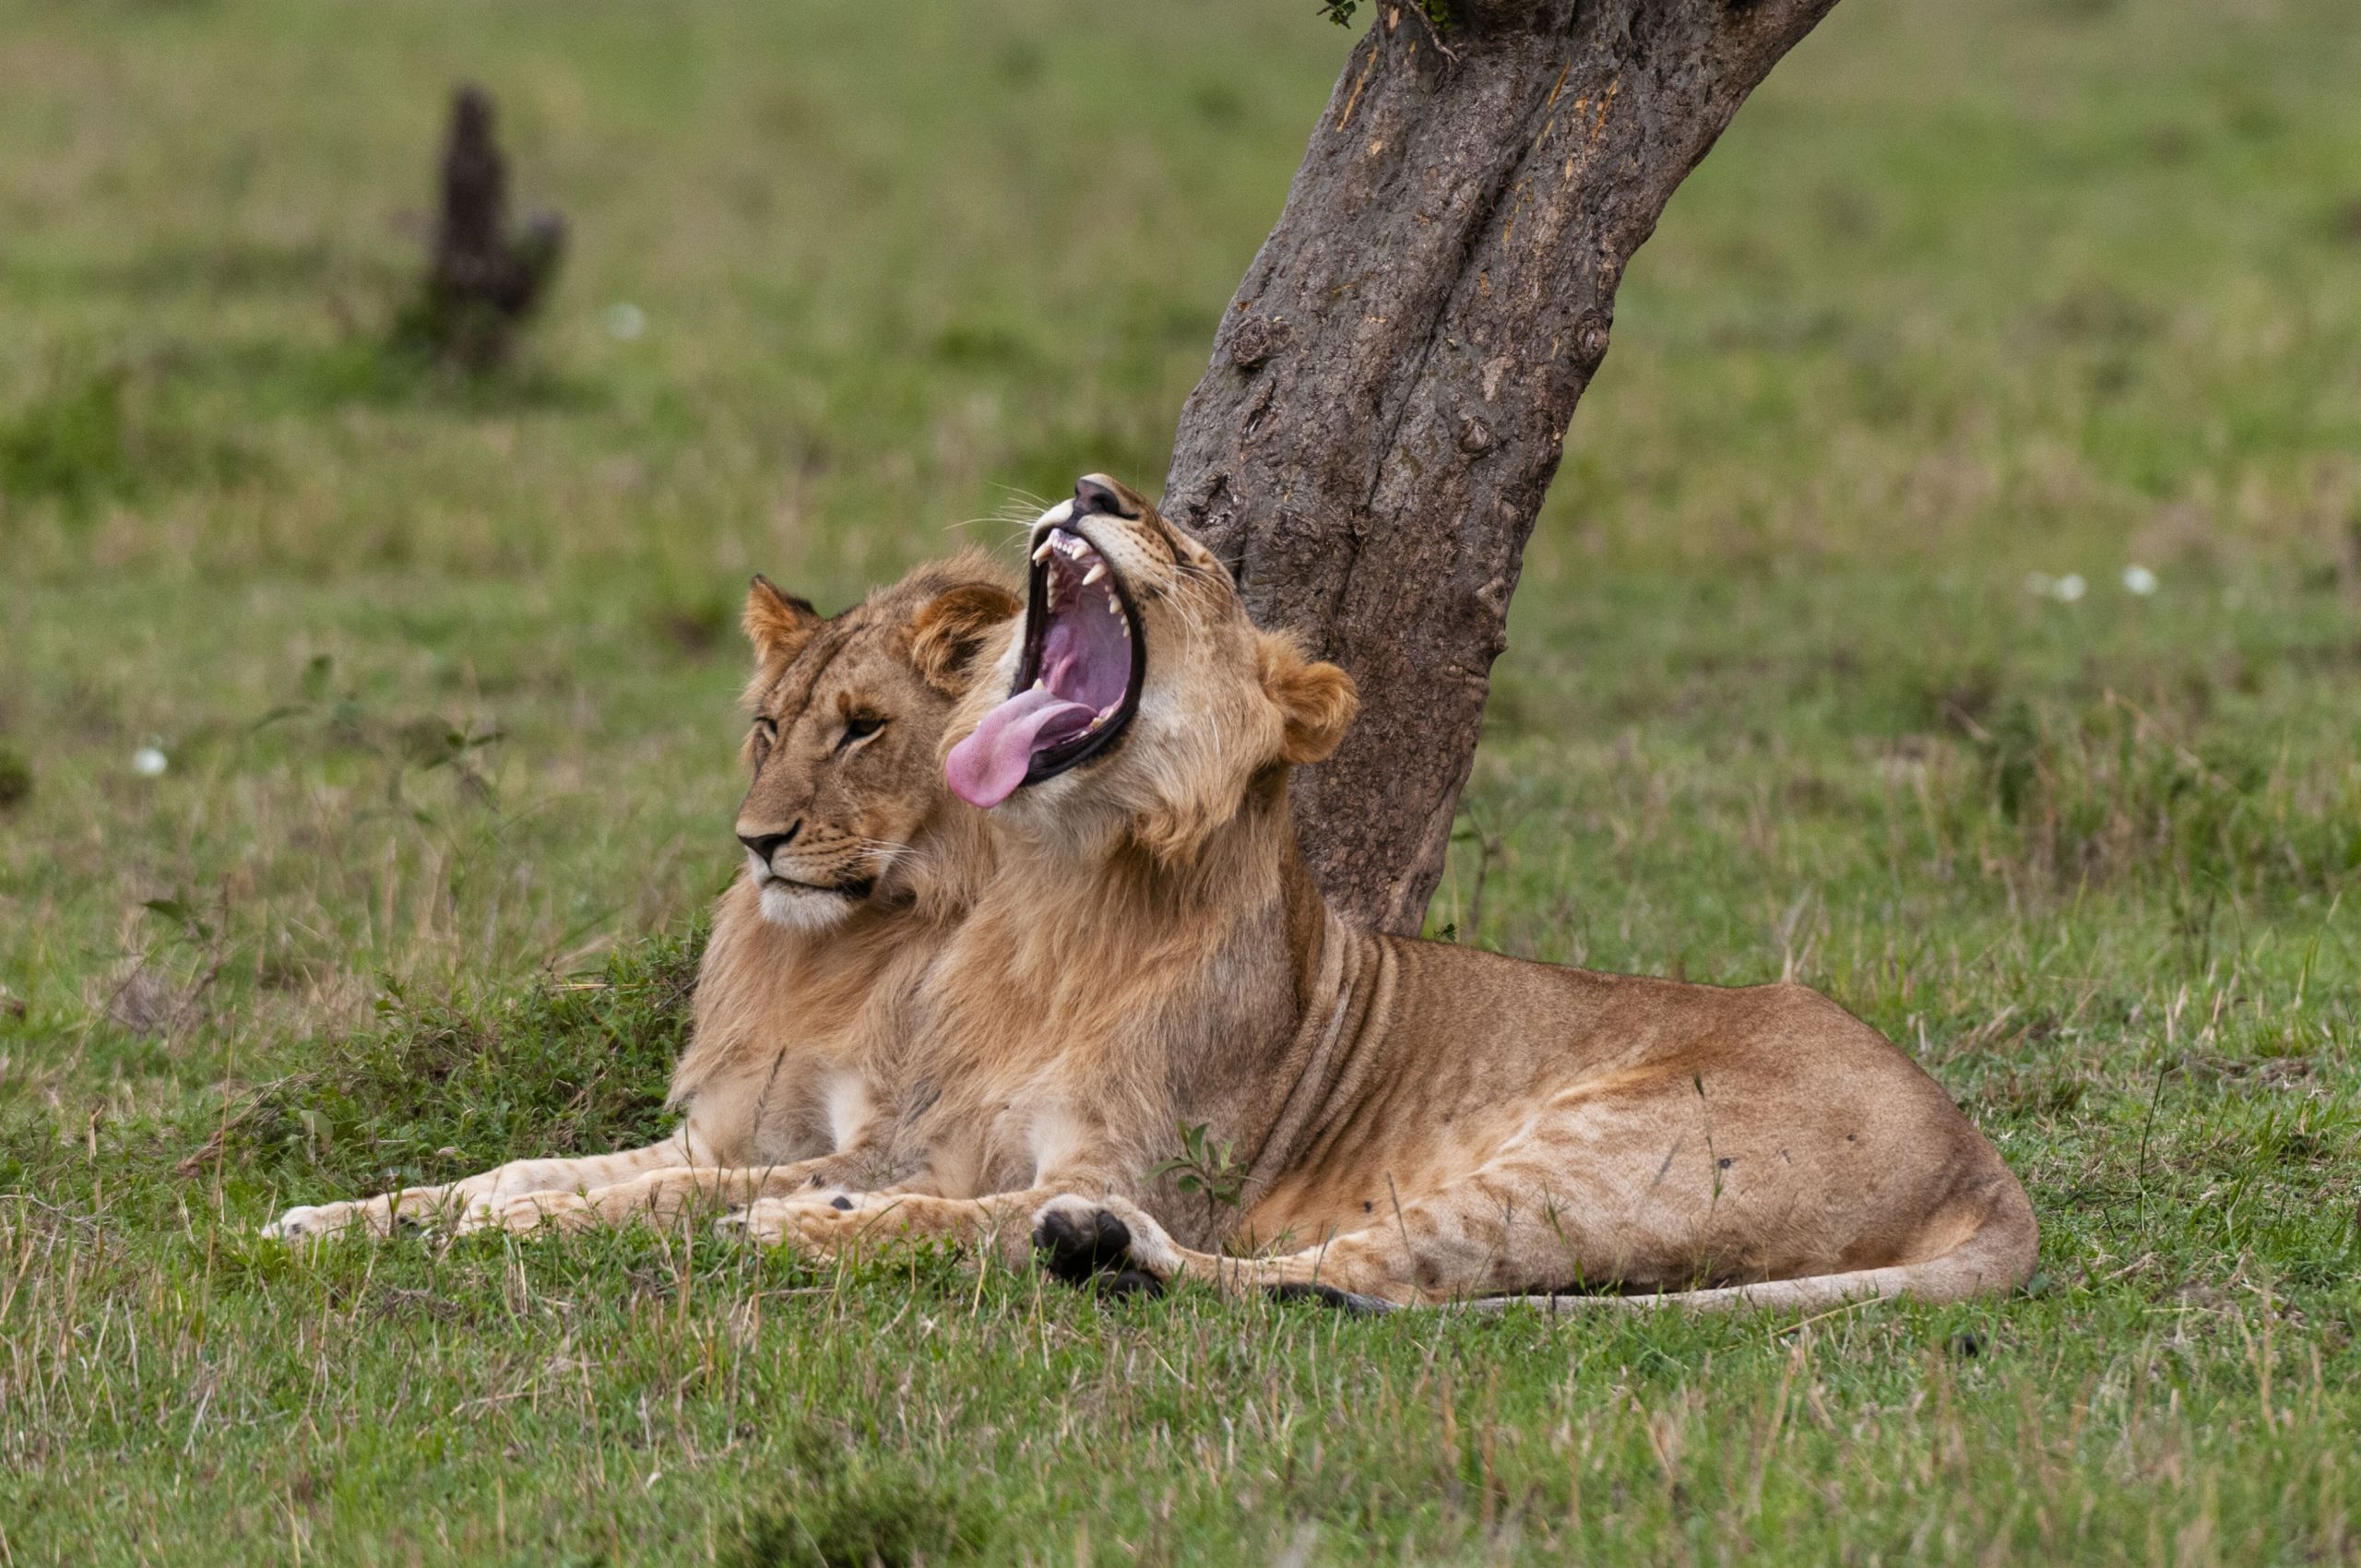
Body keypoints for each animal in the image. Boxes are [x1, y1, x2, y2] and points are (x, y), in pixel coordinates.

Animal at [263, 556, 1018, 1240]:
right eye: (771, 727)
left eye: (863, 726)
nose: (756, 841)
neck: (845, 948)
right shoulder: (727, 1131)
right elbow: (532, 1167)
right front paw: (334, 1218)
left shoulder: (903, 1149)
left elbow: (685, 1188)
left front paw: (520, 1219)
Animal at [726, 476, 2036, 1314]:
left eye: (1197, 560)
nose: (1092, 487)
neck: (1058, 894)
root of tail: (1980, 1154)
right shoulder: (938, 1133)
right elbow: (836, 1174)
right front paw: (783, 1194)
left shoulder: (1144, 1167)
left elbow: (943, 1216)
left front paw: (803, 1223)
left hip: (1593, 1163)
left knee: (1346, 1278)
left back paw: (1098, 1247)